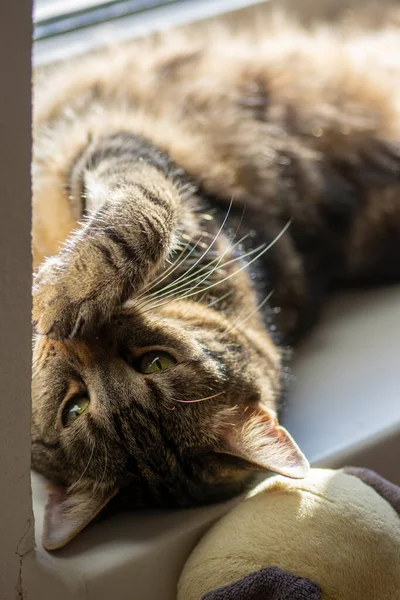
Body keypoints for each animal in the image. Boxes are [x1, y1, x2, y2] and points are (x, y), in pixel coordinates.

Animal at [31, 11, 400, 552]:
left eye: (156, 363)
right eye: (74, 410)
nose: (84, 339)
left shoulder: (123, 148)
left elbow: (142, 216)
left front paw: (69, 291)